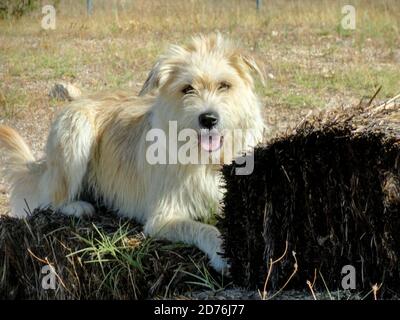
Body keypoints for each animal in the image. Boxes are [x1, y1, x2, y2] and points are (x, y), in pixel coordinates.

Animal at [1, 33, 268, 272]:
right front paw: (223, 253)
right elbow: (206, 229)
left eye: (224, 85)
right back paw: (78, 206)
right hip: (76, 132)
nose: (209, 119)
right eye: (187, 89)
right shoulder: (162, 218)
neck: (207, 160)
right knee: (52, 200)